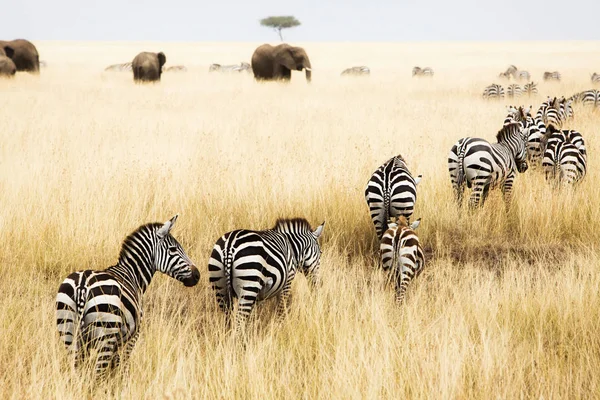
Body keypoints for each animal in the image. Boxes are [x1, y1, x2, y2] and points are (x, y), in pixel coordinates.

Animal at [55, 216, 199, 376]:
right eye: (173, 249)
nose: (197, 275)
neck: (132, 274)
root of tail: (82, 286)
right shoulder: (132, 337)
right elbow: (121, 366)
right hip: (105, 334)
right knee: (98, 374)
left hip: (68, 331)